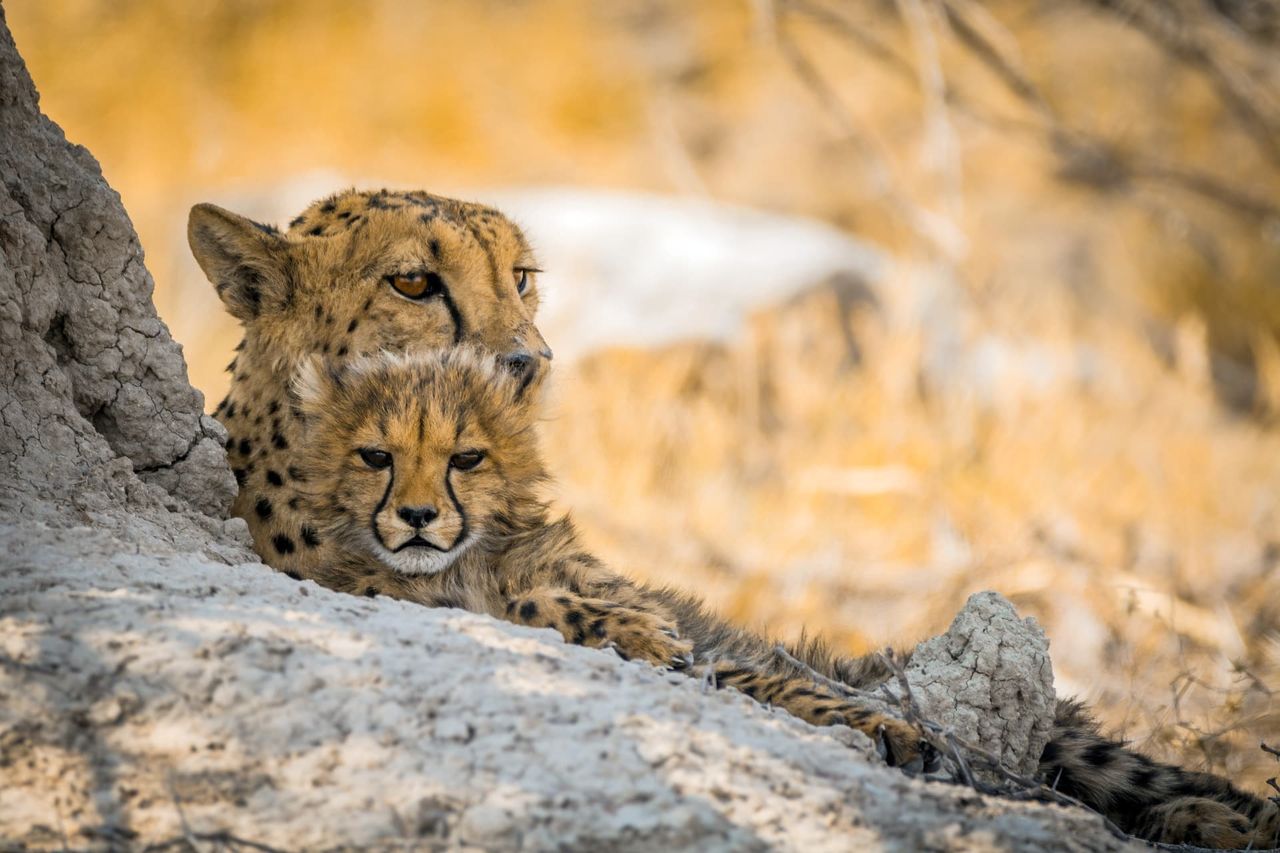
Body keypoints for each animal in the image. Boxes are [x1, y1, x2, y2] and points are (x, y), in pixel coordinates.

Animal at [287, 345, 1280, 849]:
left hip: (1073, 742)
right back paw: (1204, 823)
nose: (418, 516)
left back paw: (1221, 815)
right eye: (377, 455)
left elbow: (764, 673)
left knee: (1147, 780)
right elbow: (550, 611)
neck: (466, 561)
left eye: (467, 457)